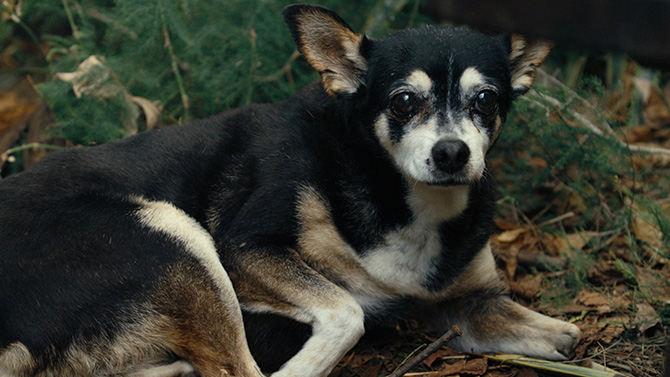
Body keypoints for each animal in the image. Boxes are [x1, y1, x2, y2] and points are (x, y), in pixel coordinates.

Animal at [0, 3, 584, 376]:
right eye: (403, 101)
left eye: (486, 99)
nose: (451, 154)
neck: (399, 198)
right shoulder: (245, 250)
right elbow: (348, 310)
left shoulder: (464, 302)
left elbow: (563, 335)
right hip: (174, 237)